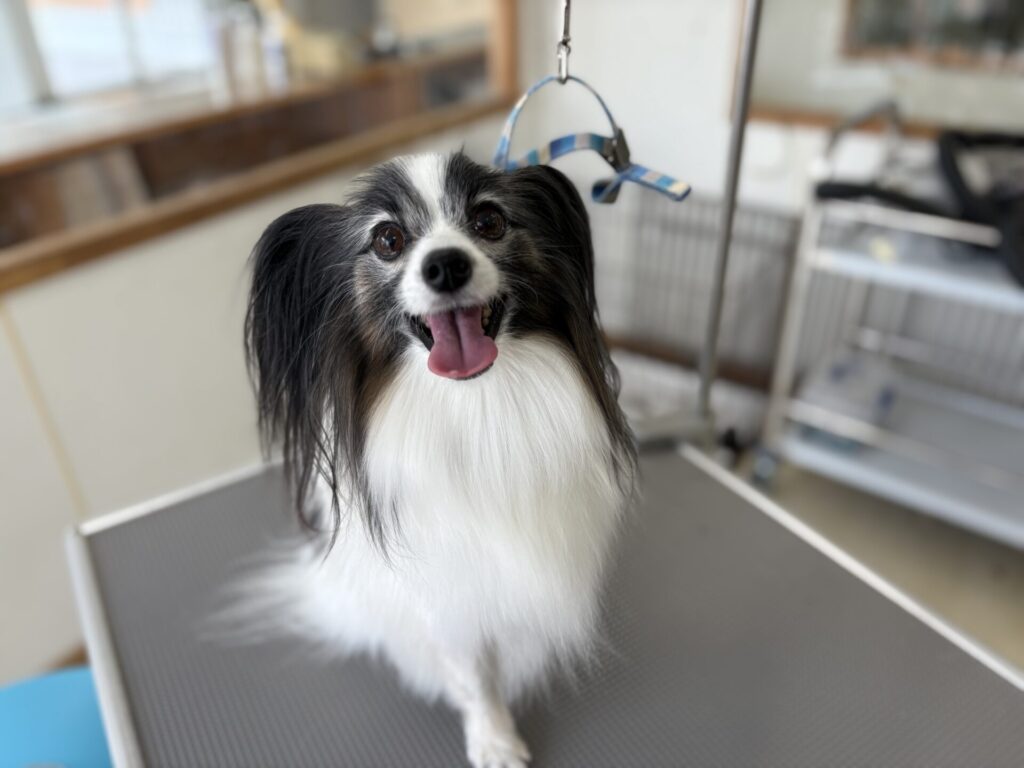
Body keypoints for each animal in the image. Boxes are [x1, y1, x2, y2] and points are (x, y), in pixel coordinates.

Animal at [244, 152, 636, 767]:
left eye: (489, 221)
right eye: (387, 239)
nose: (446, 266)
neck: (478, 404)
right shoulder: (444, 585)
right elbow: (472, 671)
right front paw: (493, 738)